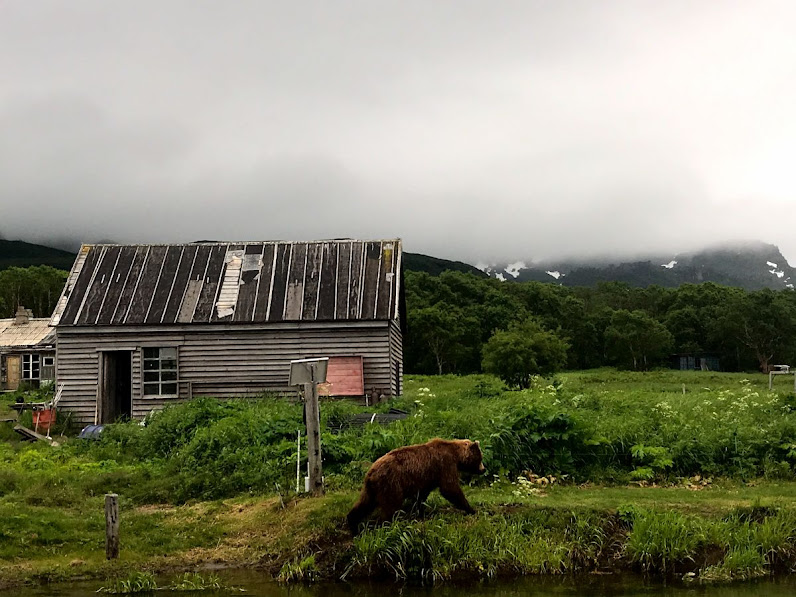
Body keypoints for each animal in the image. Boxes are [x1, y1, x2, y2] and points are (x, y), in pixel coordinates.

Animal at [346, 436, 486, 532]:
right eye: (480, 458)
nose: (483, 469)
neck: (456, 455)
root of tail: (371, 471)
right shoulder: (445, 465)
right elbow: (450, 488)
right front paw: (471, 509)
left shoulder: (427, 478)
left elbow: (422, 495)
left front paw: (420, 511)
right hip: (391, 483)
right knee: (391, 505)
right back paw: (386, 524)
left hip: (371, 488)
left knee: (364, 503)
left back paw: (352, 523)